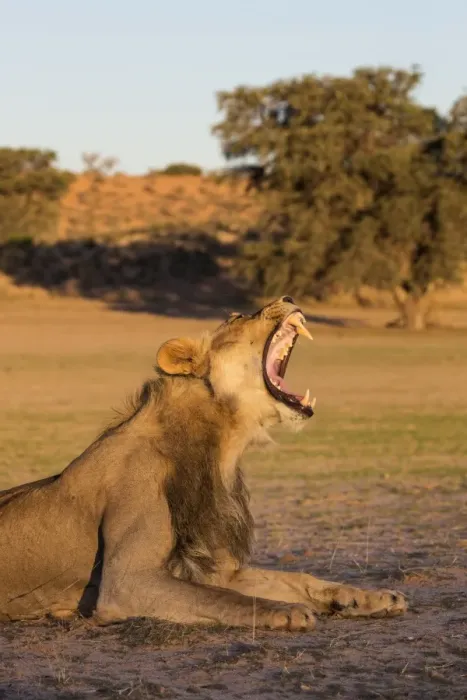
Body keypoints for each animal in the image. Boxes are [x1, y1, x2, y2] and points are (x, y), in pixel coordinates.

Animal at [0, 296, 407, 630]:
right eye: (239, 316)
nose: (288, 297)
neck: (223, 446)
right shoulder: (126, 582)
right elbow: (228, 598)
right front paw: (284, 611)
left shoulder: (212, 566)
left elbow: (294, 578)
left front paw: (367, 596)